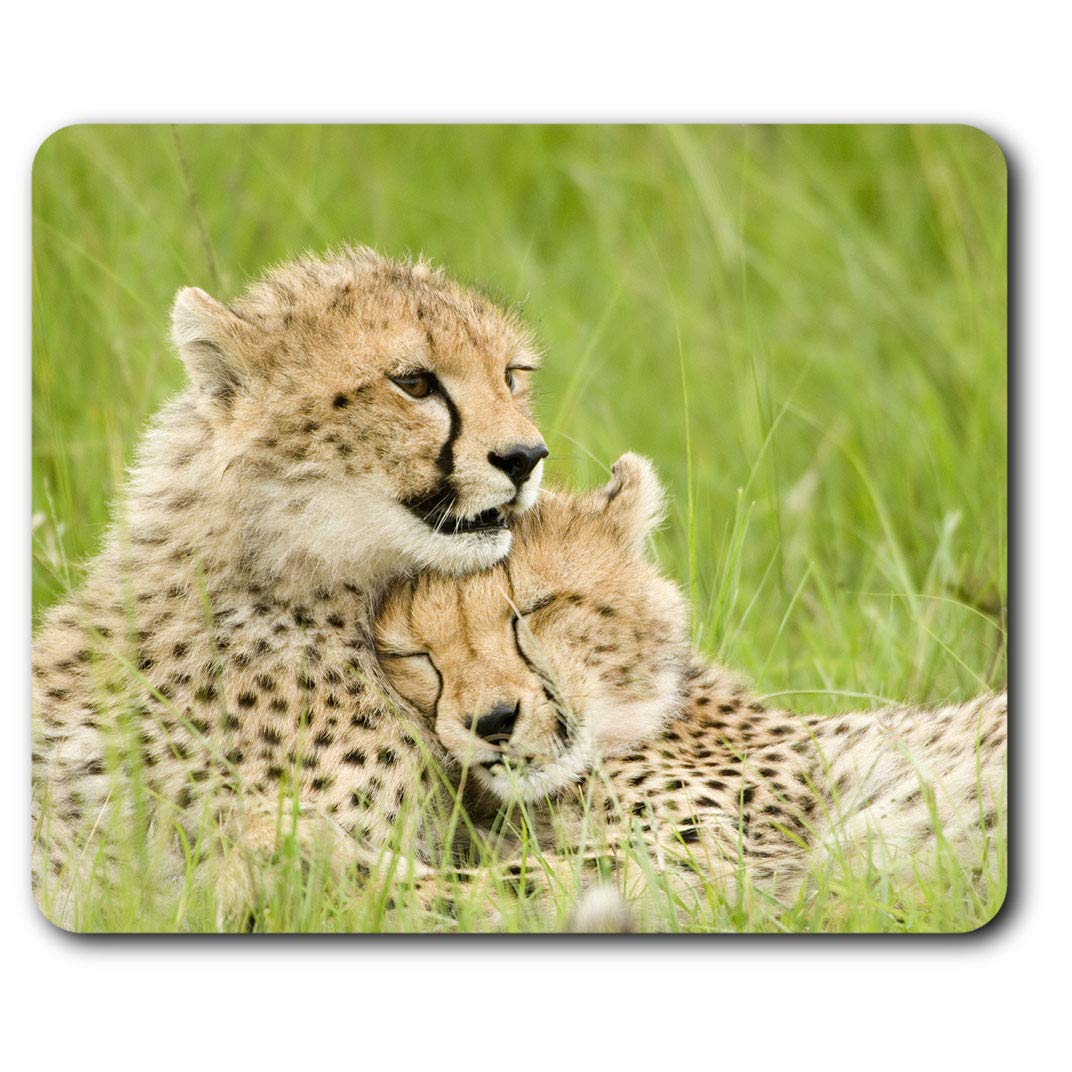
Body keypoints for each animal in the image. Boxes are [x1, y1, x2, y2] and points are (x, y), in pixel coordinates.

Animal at [375, 454, 1008, 926]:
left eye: (533, 608)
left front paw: (351, 867)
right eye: (416, 656)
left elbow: (497, 883)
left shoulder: (706, 863)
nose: (492, 721)